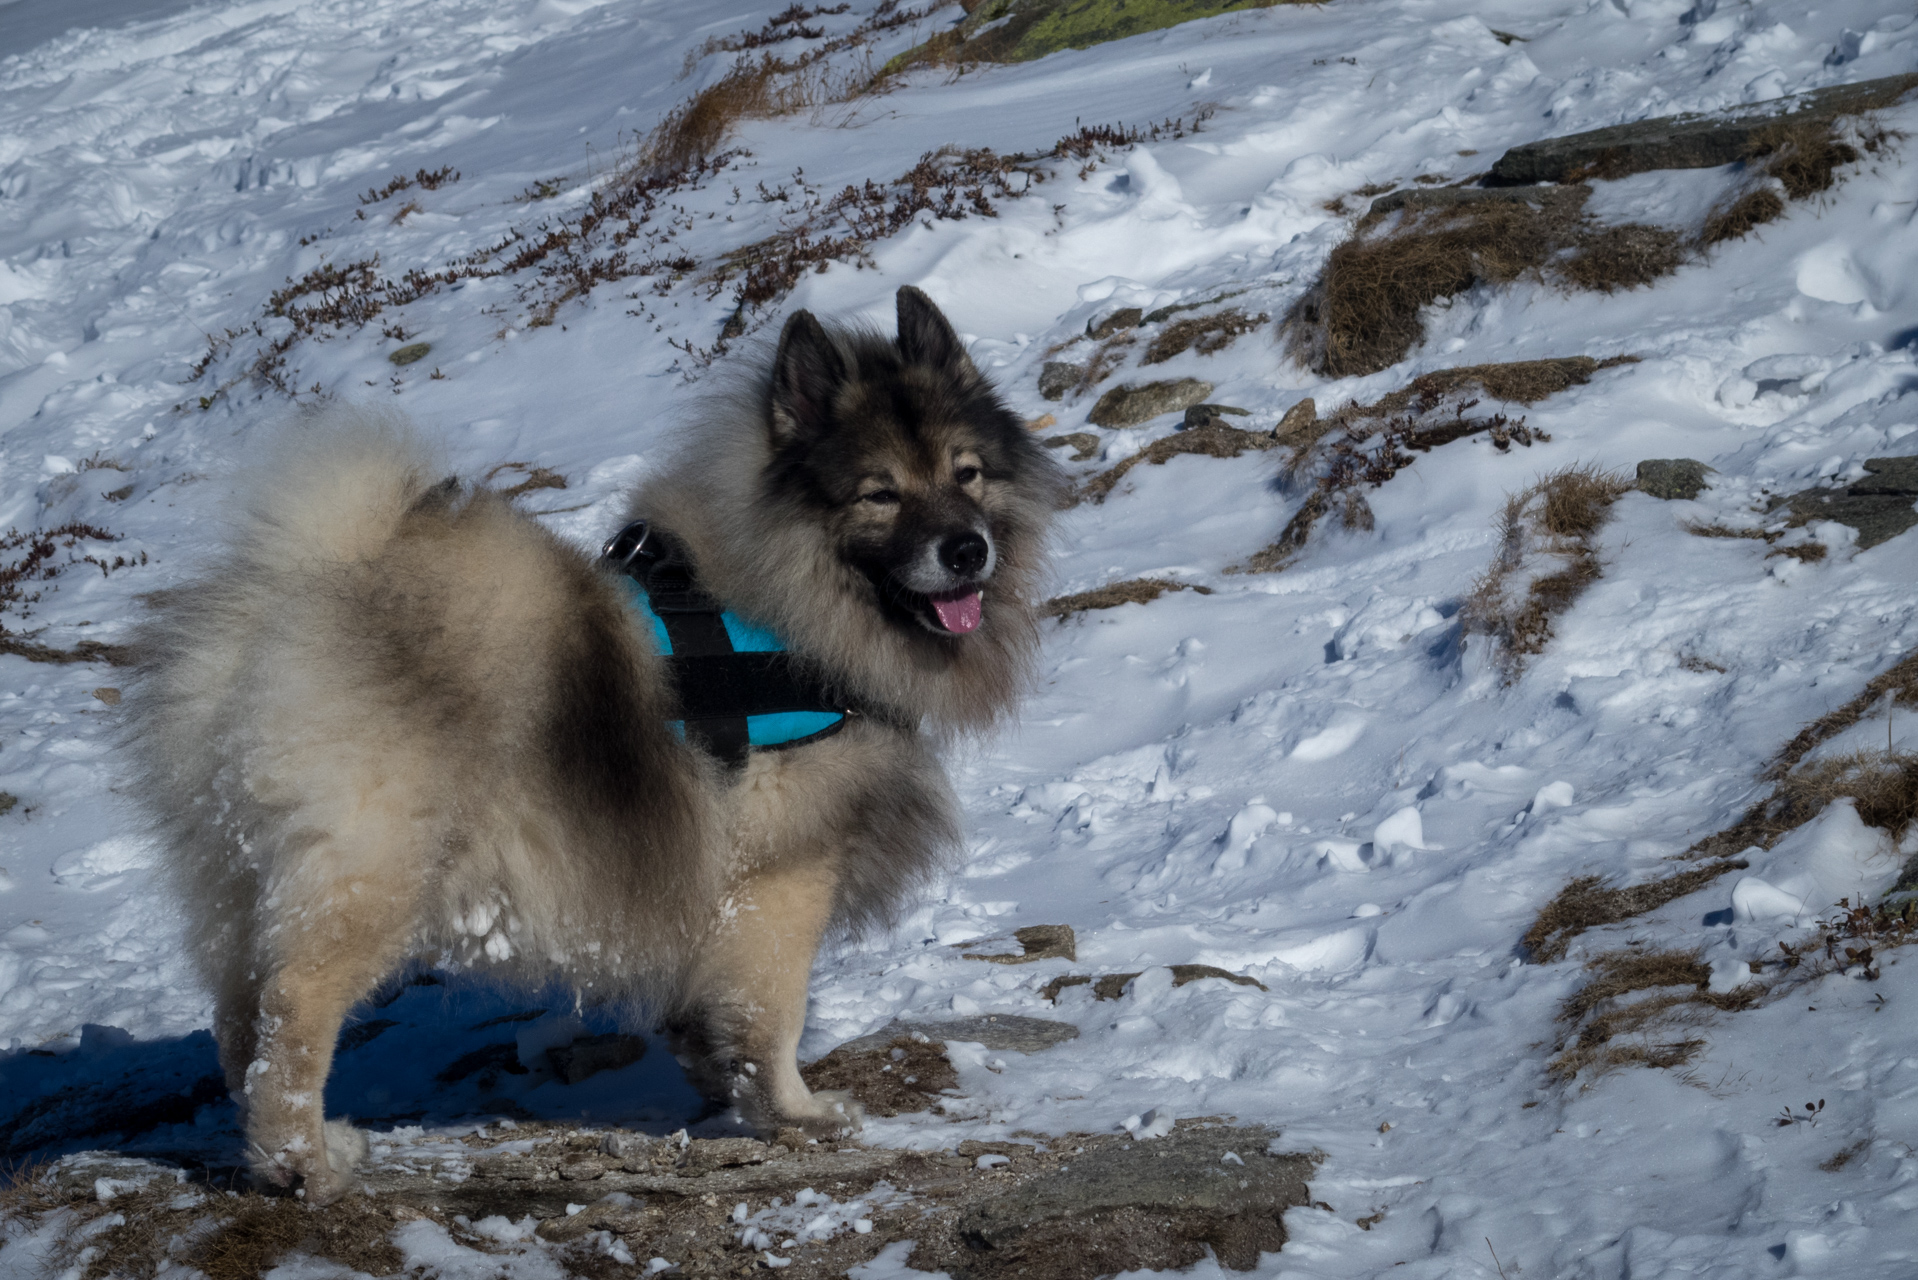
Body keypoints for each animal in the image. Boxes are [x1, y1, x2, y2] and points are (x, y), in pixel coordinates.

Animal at [127, 287, 1066, 1205]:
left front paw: (724, 1091)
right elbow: (771, 1013)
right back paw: (306, 1163)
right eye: (880, 494)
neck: (787, 610)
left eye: (967, 474)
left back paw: (277, 1153)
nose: (967, 549)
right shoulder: (780, 879)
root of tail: (287, 599)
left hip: (244, 879)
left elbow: (708, 1015)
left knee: (239, 1017)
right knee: (292, 1009)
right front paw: (795, 1112)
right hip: (372, 874)